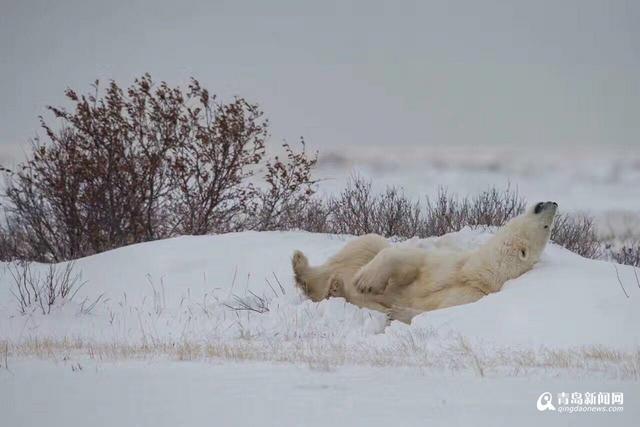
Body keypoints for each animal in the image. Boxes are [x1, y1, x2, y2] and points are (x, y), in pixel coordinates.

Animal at [290, 202, 556, 322]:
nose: (552, 203)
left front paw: (396, 309)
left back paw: (334, 288)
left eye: (547, 227)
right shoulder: (448, 264)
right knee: (367, 243)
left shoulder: (470, 296)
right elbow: (411, 260)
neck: (476, 274)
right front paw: (366, 280)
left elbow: (432, 312)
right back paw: (303, 266)